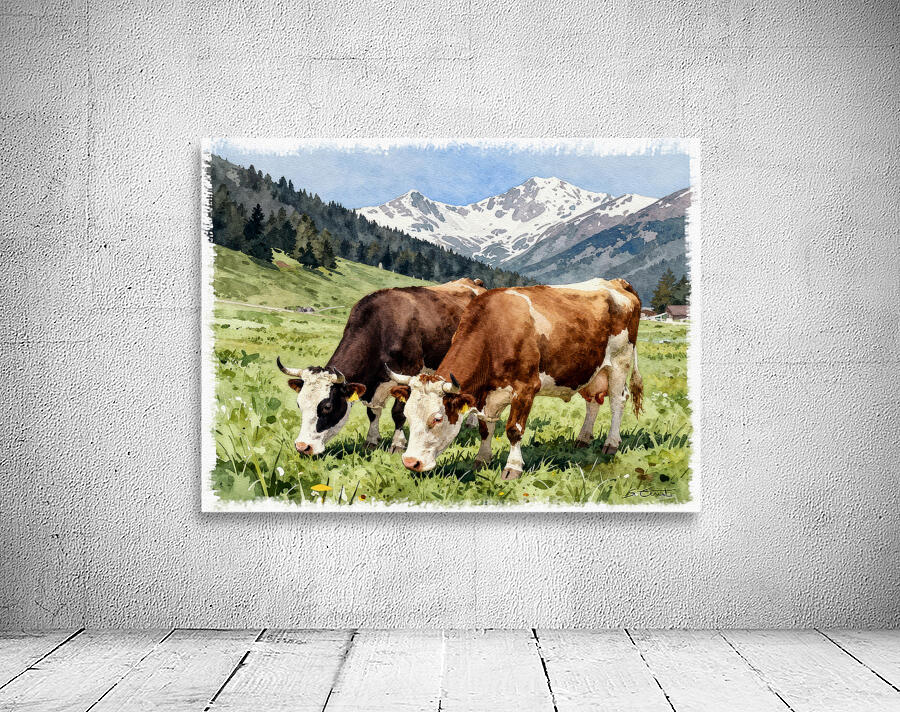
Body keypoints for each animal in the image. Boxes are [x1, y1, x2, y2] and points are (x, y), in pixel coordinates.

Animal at [277, 278, 486, 456]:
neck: (381, 327)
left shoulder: (409, 372)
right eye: (299, 404)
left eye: (327, 406)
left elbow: (398, 412)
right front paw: (371, 441)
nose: (302, 447)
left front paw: (397, 444)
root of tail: (474, 282)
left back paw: (472, 423)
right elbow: (373, 412)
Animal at [388, 278, 643, 479]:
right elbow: (486, 428)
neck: (495, 332)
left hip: (620, 362)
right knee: (593, 402)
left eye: (437, 418)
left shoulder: (526, 389)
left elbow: (514, 430)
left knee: (617, 401)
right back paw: (582, 439)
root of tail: (616, 283)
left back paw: (611, 444)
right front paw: (482, 459)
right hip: (590, 370)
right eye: (407, 415)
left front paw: (512, 468)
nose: (410, 462)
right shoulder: (487, 395)